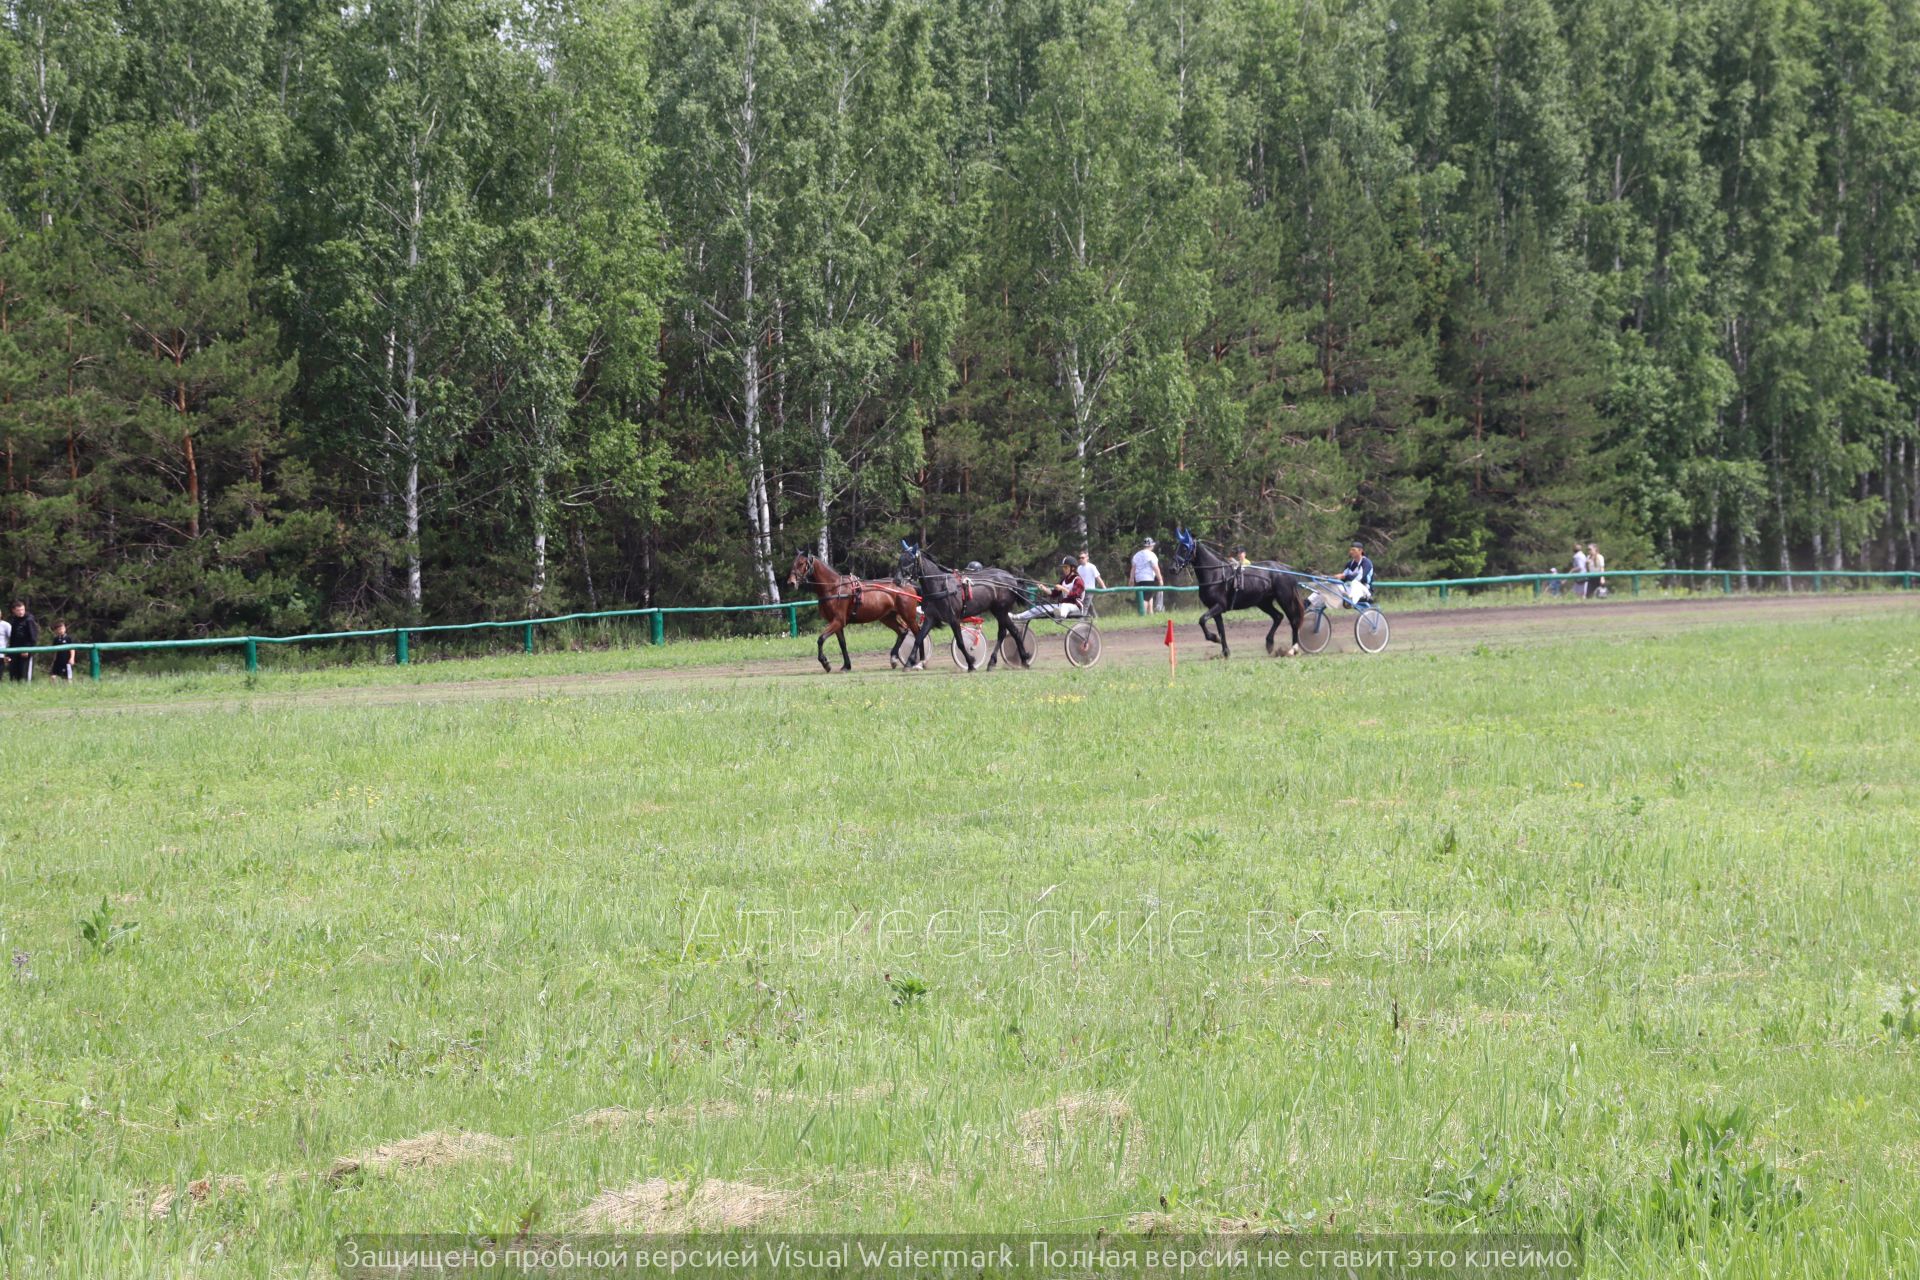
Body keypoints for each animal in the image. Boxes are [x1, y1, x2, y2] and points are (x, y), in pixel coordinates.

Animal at [787, 548, 921, 675]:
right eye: (793, 563)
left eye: (801, 563)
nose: (791, 582)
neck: (834, 588)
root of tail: (908, 584)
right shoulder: (836, 623)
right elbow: (842, 644)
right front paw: (846, 666)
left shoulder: (838, 621)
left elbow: (821, 639)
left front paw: (825, 663)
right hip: (887, 617)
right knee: (902, 631)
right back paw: (894, 658)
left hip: (908, 616)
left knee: (917, 633)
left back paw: (913, 662)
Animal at [894, 545, 1036, 675]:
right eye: (900, 560)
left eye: (910, 560)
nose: (897, 580)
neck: (940, 585)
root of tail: (1012, 578)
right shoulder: (930, 618)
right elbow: (919, 638)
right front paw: (908, 663)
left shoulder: (954, 619)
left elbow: (961, 642)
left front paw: (971, 663)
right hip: (998, 611)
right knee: (1010, 632)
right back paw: (1017, 660)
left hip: (1001, 610)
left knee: (1009, 632)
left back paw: (1018, 660)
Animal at [1167, 525, 1305, 660]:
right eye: (1177, 547)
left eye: (1185, 548)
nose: (1172, 568)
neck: (1215, 574)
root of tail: (1286, 569)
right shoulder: (1216, 609)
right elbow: (1221, 629)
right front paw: (1225, 652)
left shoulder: (1219, 606)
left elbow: (1202, 620)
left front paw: (1214, 638)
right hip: (1263, 602)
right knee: (1278, 616)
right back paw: (1269, 643)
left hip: (1285, 599)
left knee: (1293, 620)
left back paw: (1293, 649)